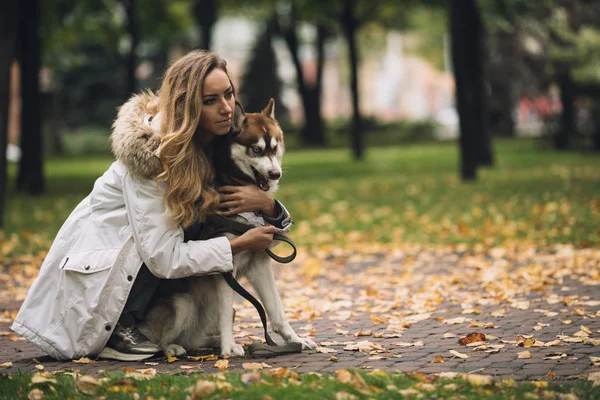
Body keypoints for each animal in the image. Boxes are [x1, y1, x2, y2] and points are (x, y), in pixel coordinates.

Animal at [139, 98, 318, 354]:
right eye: (256, 150)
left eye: (274, 148)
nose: (275, 173)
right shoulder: (225, 268)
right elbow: (225, 311)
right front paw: (229, 348)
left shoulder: (259, 264)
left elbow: (277, 310)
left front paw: (295, 339)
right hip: (183, 303)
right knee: (158, 340)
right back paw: (170, 348)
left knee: (193, 339)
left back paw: (208, 342)